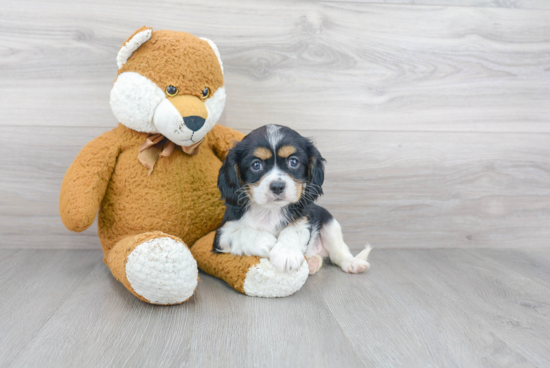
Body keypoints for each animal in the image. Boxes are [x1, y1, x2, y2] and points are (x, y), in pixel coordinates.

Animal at [213, 125, 374, 274]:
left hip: (330, 225)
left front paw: (286, 253)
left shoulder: (303, 220)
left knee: (338, 254)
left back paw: (353, 263)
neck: (270, 210)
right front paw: (267, 241)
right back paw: (313, 262)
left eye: (293, 162)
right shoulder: (221, 235)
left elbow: (292, 230)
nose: (277, 186)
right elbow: (241, 233)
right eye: (256, 165)